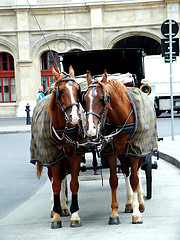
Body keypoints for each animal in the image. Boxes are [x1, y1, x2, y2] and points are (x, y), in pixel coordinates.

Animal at [30, 66, 83, 228]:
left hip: (64, 159)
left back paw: (64, 207)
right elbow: (56, 185)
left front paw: (75, 214)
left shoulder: (75, 155)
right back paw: (55, 208)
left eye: (77, 89)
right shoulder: (51, 158)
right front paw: (56, 216)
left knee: (62, 176)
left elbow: (73, 184)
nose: (75, 118)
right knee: (55, 179)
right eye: (61, 91)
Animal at [82, 70, 157, 224]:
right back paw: (129, 202)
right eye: (84, 99)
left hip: (140, 151)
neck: (120, 120)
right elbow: (114, 181)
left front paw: (136, 213)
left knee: (137, 172)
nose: (90, 130)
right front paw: (114, 213)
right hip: (123, 154)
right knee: (125, 170)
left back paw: (140, 201)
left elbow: (135, 179)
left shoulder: (135, 151)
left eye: (102, 99)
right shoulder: (112, 152)